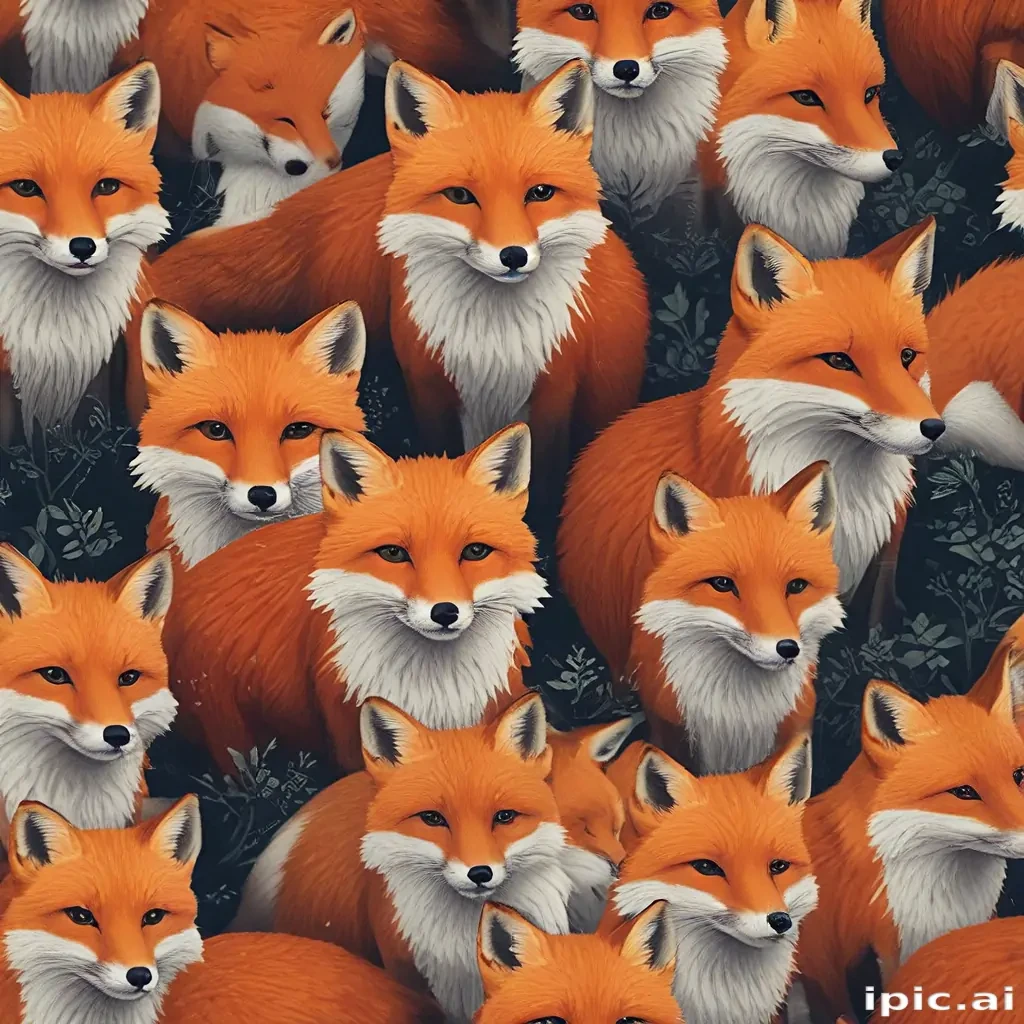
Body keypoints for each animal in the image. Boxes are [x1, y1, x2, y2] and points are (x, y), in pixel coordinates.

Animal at [148, 61, 649, 485]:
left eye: (540, 193)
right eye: (460, 196)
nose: (513, 256)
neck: (492, 344)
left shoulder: (555, 392)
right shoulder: (428, 387)